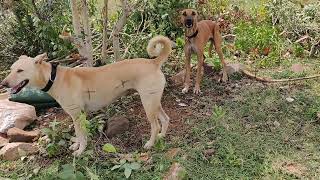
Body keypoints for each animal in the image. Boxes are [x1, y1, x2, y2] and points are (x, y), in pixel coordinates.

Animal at [0, 35, 172, 156]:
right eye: (11, 69)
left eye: (20, 70)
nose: (3, 84)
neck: (53, 77)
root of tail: (153, 62)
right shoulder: (78, 115)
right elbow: (79, 134)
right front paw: (76, 146)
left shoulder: (77, 115)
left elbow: (81, 135)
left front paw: (80, 151)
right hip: (154, 102)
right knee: (165, 119)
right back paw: (162, 137)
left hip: (148, 103)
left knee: (155, 125)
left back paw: (151, 143)